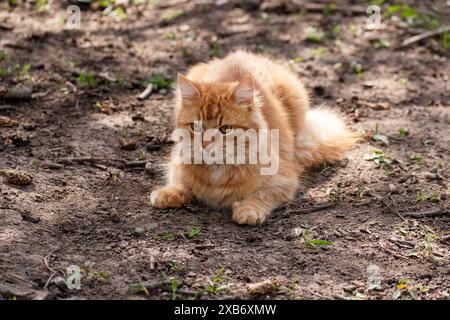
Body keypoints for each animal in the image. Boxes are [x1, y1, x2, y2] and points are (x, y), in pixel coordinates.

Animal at [151, 50, 358, 225]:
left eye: (225, 129)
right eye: (195, 127)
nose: (205, 144)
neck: (217, 170)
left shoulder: (284, 180)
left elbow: (261, 195)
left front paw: (248, 210)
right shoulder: (176, 163)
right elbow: (178, 181)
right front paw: (168, 193)